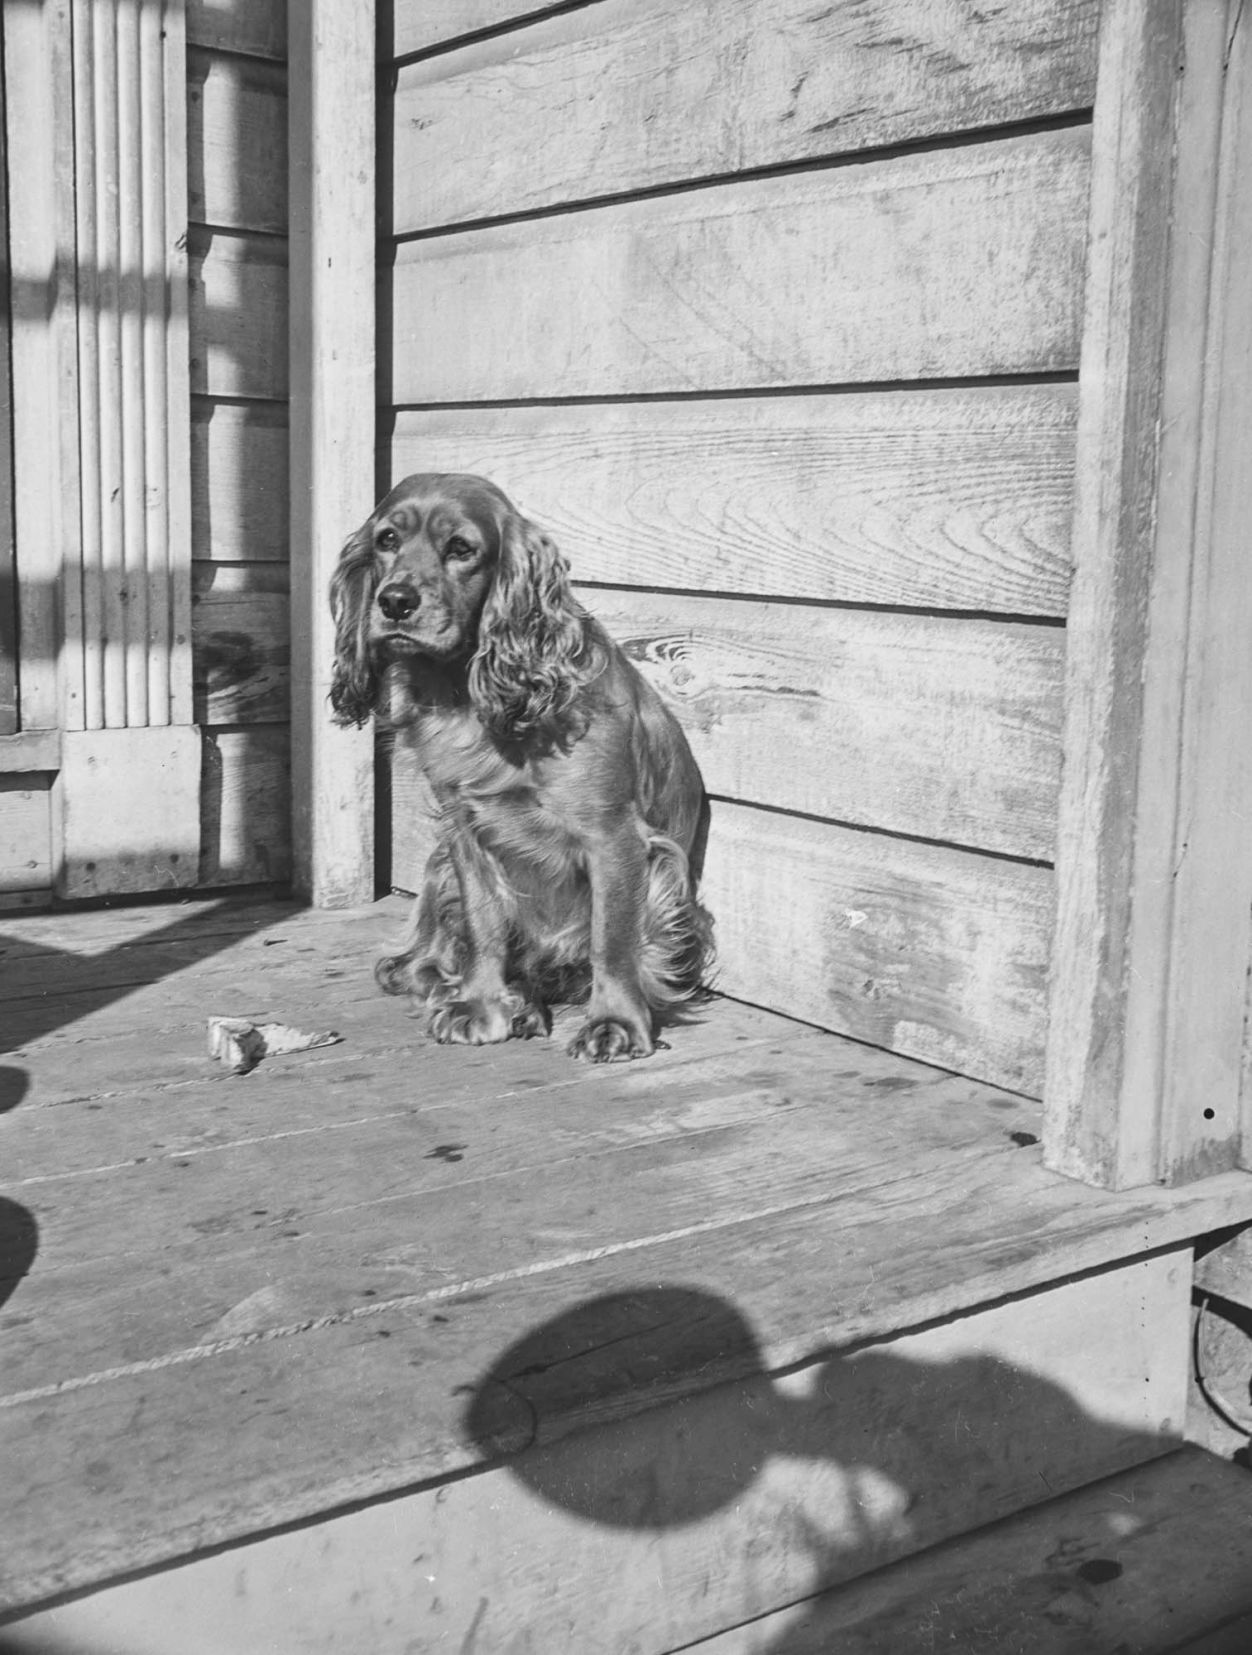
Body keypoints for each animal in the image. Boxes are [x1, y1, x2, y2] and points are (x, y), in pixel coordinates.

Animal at [327, 470, 715, 1059]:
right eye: (387, 539)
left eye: (461, 549)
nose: (394, 601)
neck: (470, 699)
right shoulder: (465, 831)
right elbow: (484, 927)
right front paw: (481, 1005)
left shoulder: (615, 837)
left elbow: (612, 940)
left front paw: (615, 1023)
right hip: (439, 867)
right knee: (415, 967)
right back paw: (509, 999)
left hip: (665, 879)